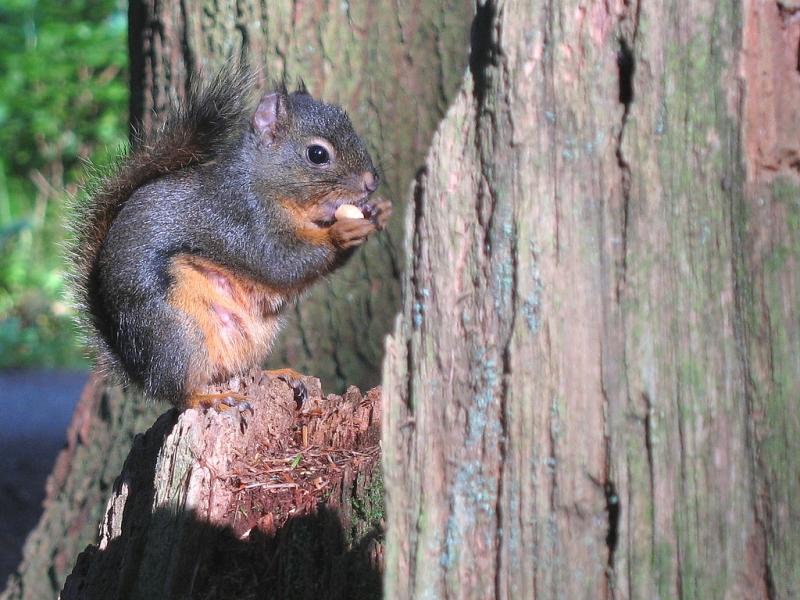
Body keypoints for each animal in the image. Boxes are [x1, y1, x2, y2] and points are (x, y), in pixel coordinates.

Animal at [72, 68, 390, 410]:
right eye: (317, 154)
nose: (372, 182)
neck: (263, 182)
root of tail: (140, 371)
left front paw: (377, 211)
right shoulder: (240, 219)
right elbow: (279, 261)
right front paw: (341, 232)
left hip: (255, 335)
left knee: (237, 369)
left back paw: (278, 374)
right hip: (176, 333)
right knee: (180, 392)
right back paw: (209, 397)